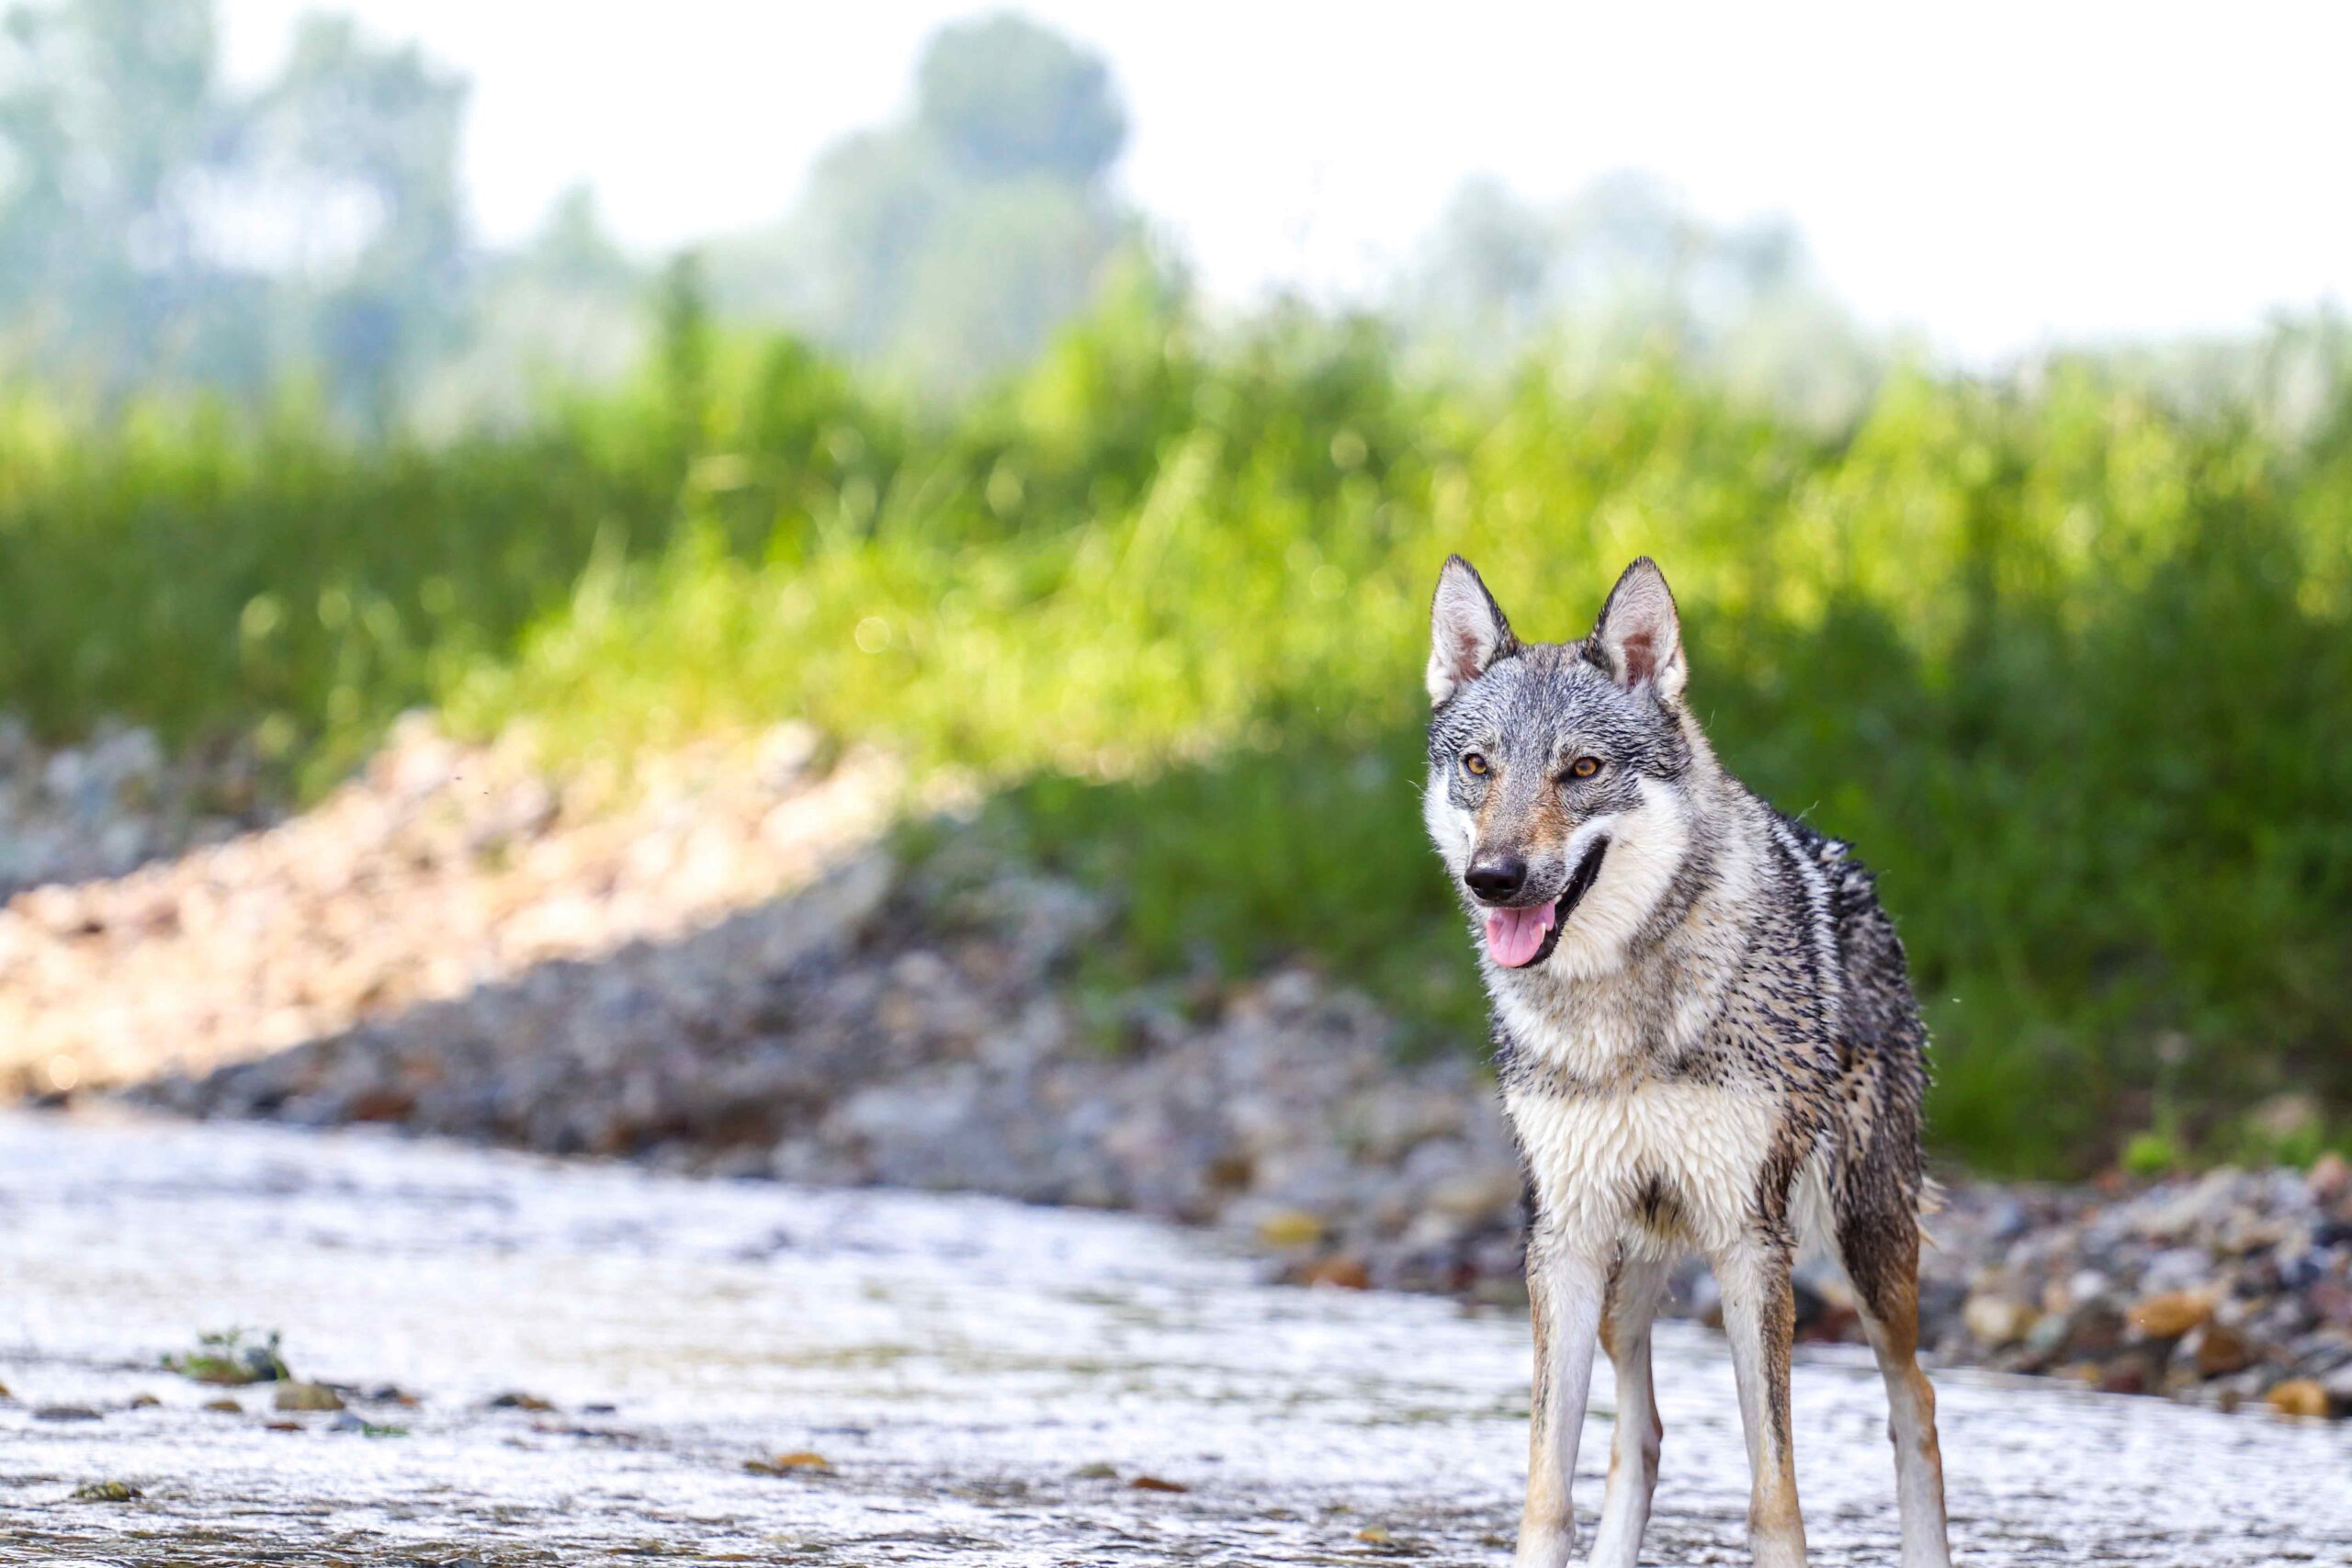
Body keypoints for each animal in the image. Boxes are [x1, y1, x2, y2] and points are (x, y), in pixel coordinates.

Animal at [1422, 555, 1951, 1568]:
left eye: (1582, 769)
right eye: (1479, 768)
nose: (1493, 880)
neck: (1620, 1018)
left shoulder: (1751, 1242)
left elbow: (1775, 1497)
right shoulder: (1564, 1244)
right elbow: (1546, 1492)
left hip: (1867, 1244)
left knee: (1917, 1406)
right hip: (1625, 1270)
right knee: (1642, 1432)